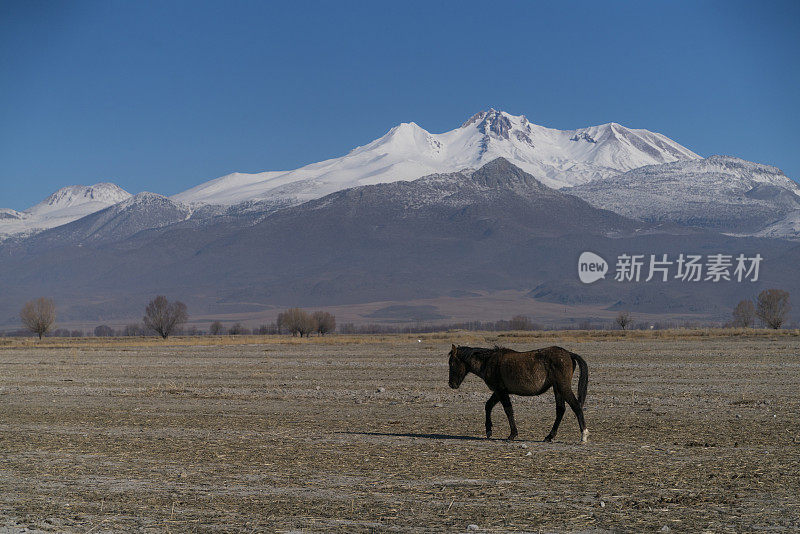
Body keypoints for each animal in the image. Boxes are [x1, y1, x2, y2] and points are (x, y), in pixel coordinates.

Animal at [446, 348, 592, 444]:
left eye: (451, 363)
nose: (451, 384)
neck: (489, 361)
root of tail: (569, 354)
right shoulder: (499, 392)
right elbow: (488, 406)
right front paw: (488, 430)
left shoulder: (501, 391)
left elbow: (508, 410)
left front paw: (512, 434)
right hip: (557, 389)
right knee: (561, 410)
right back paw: (549, 437)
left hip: (563, 388)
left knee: (576, 407)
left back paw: (583, 436)